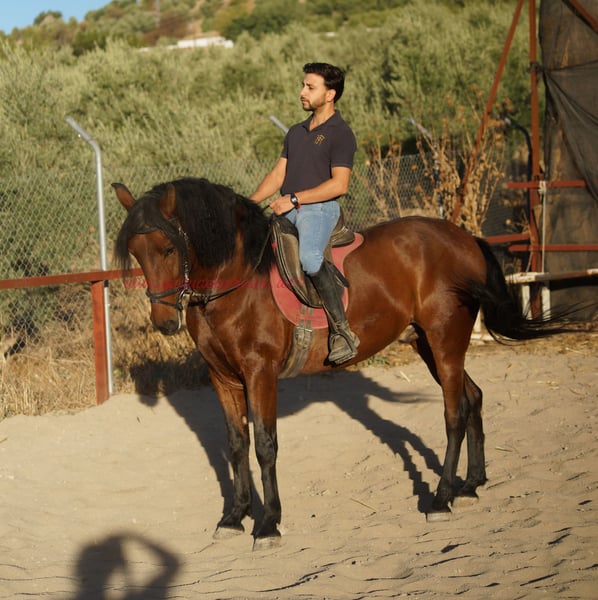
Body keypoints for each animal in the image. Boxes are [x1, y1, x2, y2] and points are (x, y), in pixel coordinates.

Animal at [113, 176, 567, 549]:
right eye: (136, 253)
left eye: (168, 248)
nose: (164, 321)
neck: (237, 281)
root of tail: (465, 238)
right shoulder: (223, 378)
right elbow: (236, 444)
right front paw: (234, 517)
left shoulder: (260, 373)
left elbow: (264, 446)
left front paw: (269, 524)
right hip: (429, 344)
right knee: (473, 397)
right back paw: (471, 485)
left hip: (445, 340)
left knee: (454, 413)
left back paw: (441, 498)